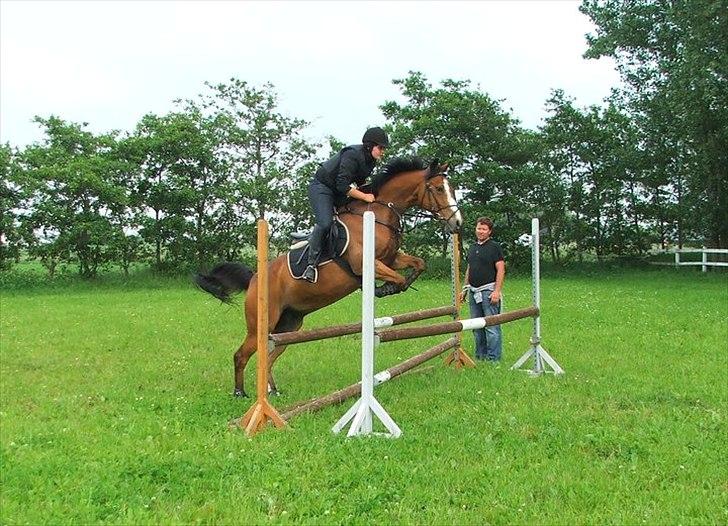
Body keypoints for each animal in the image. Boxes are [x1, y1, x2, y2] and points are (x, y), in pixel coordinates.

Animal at [196, 159, 464, 398]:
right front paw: (385, 289)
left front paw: (398, 285)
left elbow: (419, 264)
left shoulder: (391, 259)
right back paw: (240, 393)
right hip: (261, 326)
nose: (458, 223)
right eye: (438, 189)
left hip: (289, 326)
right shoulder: (367, 264)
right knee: (242, 355)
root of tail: (254, 279)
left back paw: (272, 390)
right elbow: (396, 277)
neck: (378, 213)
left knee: (270, 356)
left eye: (451, 189)